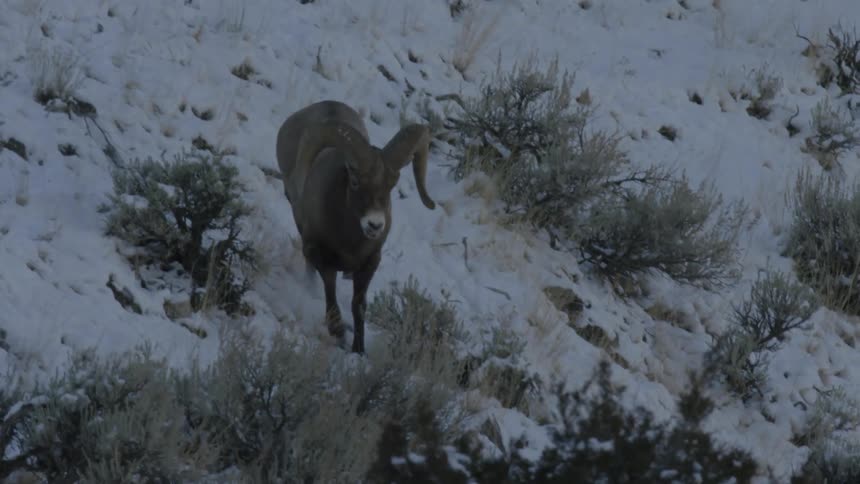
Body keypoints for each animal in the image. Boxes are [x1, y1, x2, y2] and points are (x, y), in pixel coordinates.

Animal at [276, 100, 436, 354]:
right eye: (355, 180)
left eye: (392, 185)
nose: (374, 224)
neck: (350, 244)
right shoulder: (322, 258)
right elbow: (331, 295)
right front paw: (338, 332)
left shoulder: (369, 265)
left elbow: (358, 306)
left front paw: (358, 349)